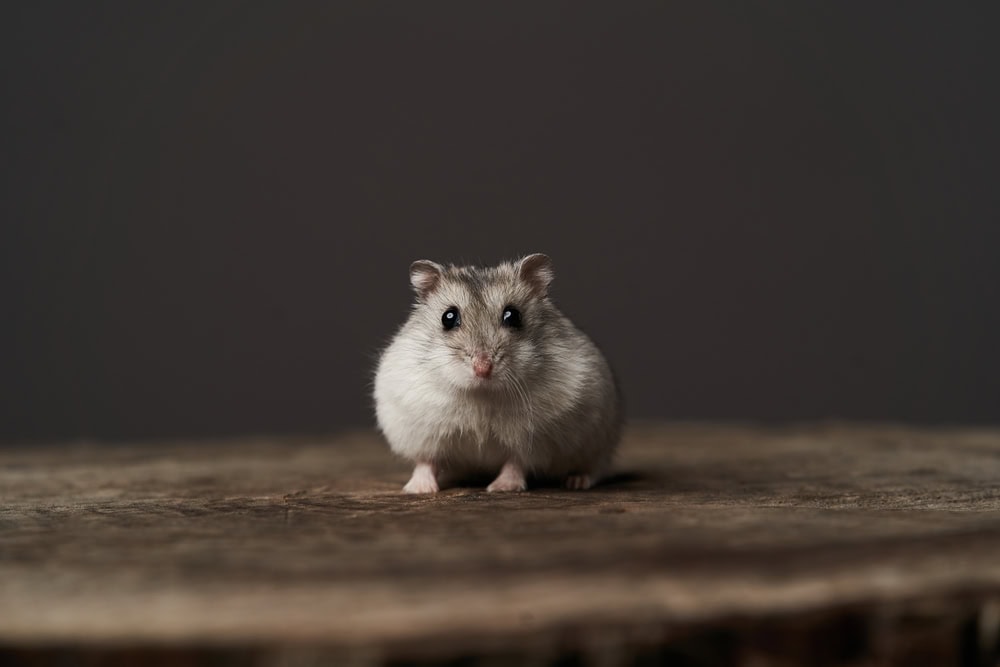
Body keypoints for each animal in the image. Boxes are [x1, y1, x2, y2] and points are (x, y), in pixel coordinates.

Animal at [373, 253, 622, 493]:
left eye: (513, 316)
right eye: (448, 317)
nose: (482, 369)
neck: (481, 394)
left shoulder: (533, 440)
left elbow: (516, 462)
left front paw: (501, 488)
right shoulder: (420, 432)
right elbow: (426, 461)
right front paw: (418, 490)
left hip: (598, 443)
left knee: (594, 468)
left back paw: (576, 482)